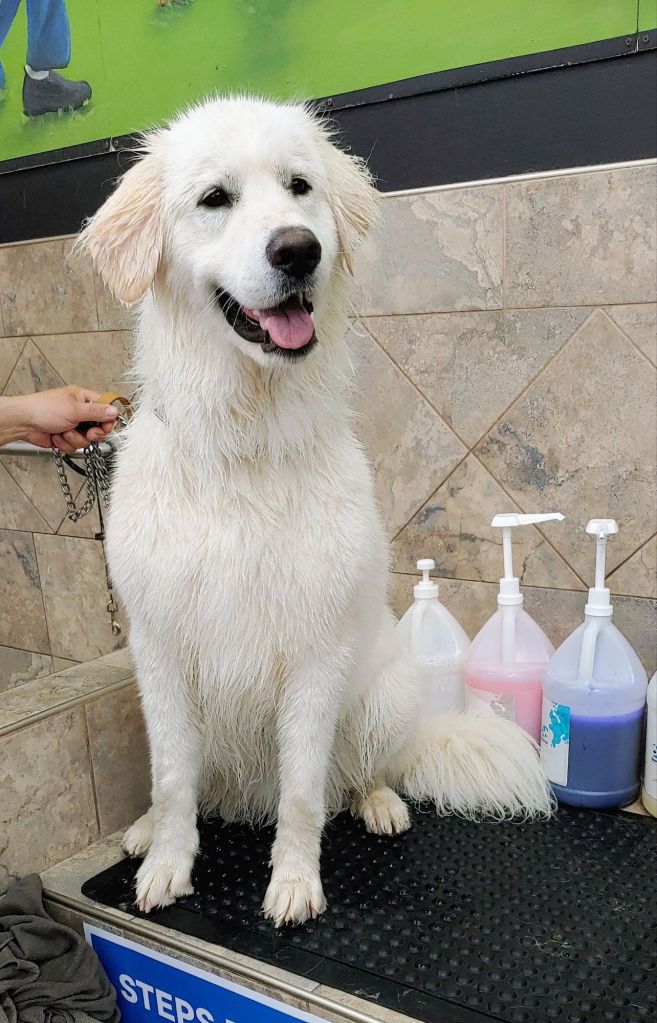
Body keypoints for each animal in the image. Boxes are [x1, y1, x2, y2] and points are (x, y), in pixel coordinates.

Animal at [79, 96, 553, 927]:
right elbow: (171, 783)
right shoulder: (161, 650)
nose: (299, 250)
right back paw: (140, 831)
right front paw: (166, 863)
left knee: (355, 774)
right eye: (214, 198)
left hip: (381, 697)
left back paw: (379, 802)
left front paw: (294, 883)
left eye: (299, 187)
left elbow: (302, 794)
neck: (244, 443)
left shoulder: (311, 656)